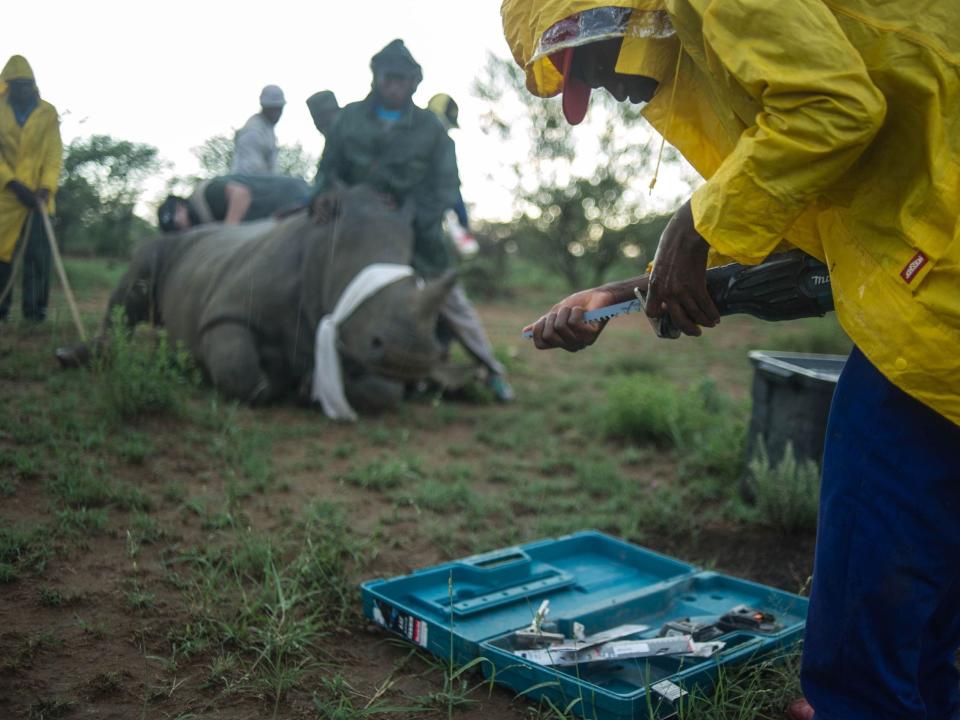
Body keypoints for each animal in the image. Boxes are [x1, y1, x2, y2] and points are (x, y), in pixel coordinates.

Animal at [58, 187, 456, 416]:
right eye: (353, 285)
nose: (409, 357)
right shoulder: (227, 311)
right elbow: (242, 372)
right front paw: (284, 384)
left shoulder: (355, 337)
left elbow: (384, 392)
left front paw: (310, 385)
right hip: (165, 245)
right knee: (133, 288)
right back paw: (76, 357)